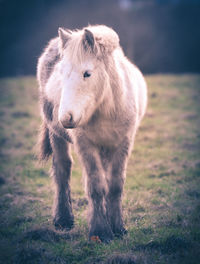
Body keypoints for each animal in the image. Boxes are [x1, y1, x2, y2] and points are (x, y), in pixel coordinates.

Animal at [37, 24, 147, 241]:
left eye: (87, 74)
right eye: (61, 73)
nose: (65, 118)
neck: (107, 108)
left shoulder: (123, 143)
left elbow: (114, 185)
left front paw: (118, 228)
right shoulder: (86, 145)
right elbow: (96, 186)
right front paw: (100, 231)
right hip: (57, 136)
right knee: (62, 171)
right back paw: (63, 220)